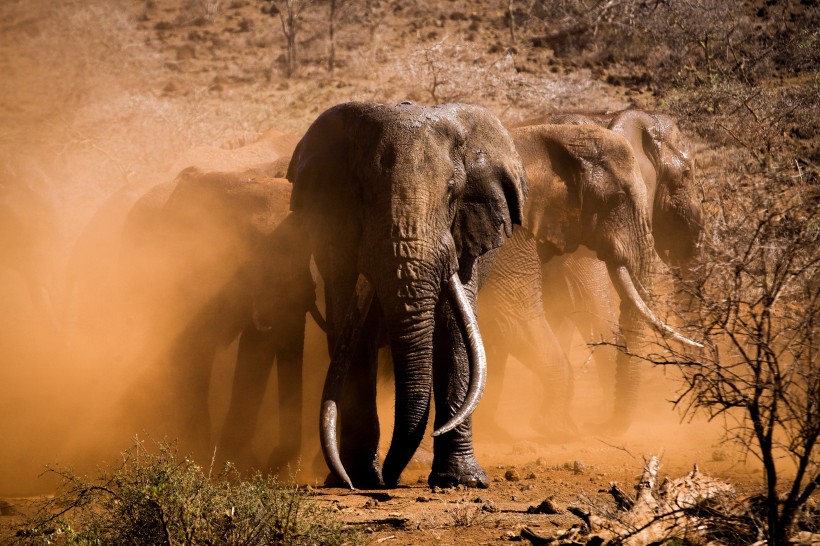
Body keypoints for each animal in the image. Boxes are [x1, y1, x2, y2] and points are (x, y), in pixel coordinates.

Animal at [286, 100, 532, 486]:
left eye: (452, 191)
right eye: (363, 192)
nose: (391, 477)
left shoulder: (464, 235)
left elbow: (455, 330)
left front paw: (461, 481)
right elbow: (355, 334)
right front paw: (359, 479)